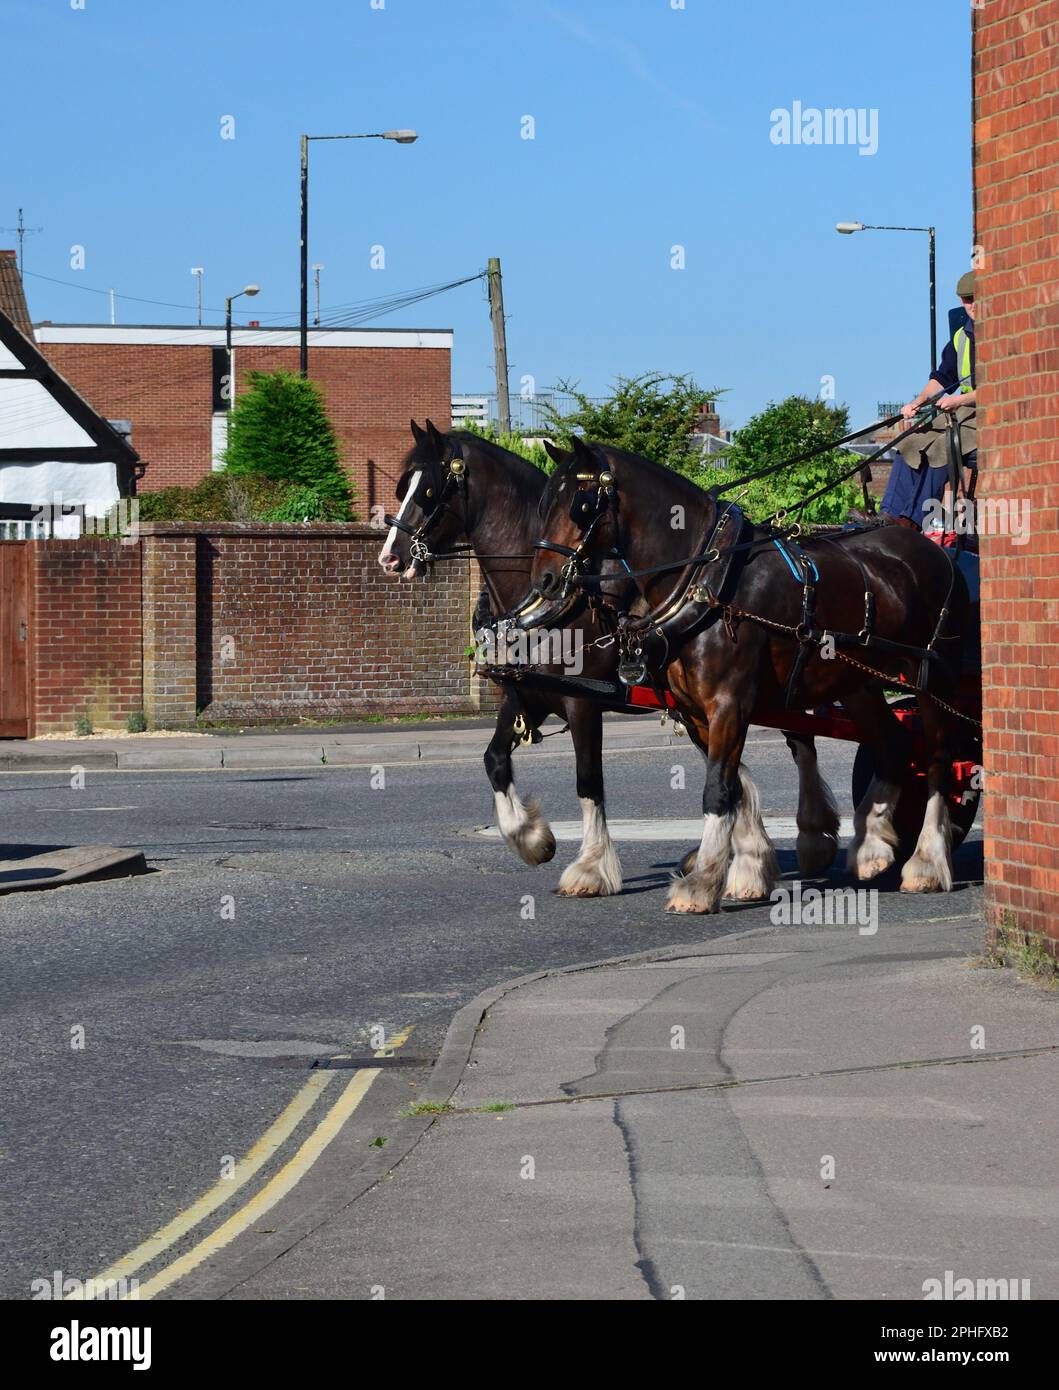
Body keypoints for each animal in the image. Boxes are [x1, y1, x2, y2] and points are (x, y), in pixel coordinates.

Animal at [519, 438, 970, 914]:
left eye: (582, 504)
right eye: (544, 503)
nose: (544, 581)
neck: (705, 582)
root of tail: (935, 551)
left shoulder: (729, 703)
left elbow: (717, 790)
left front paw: (700, 885)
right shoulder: (695, 711)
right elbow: (732, 787)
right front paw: (746, 870)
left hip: (932, 678)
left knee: (938, 759)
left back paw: (927, 862)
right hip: (859, 681)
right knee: (894, 744)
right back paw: (870, 849)